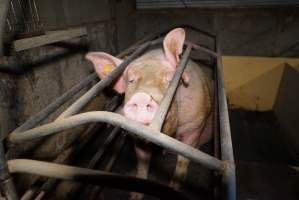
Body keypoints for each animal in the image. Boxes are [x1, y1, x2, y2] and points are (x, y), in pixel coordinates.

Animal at [85, 28, 214, 200]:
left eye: (170, 80)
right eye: (130, 80)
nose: (141, 96)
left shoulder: (194, 125)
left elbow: (182, 163)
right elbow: (142, 163)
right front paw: (134, 196)